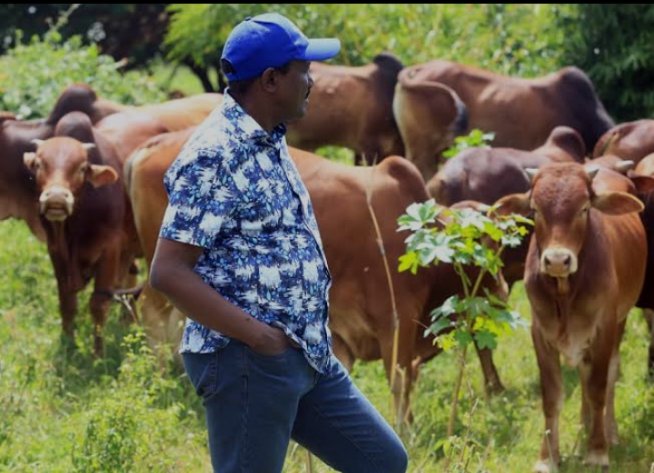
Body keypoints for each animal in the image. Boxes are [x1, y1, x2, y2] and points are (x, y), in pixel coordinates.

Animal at [127, 132, 508, 420]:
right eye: (486, 246)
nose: (504, 291)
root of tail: (150, 146)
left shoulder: (339, 335)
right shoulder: (396, 323)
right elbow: (400, 384)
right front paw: (406, 430)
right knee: (151, 311)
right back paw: (161, 377)